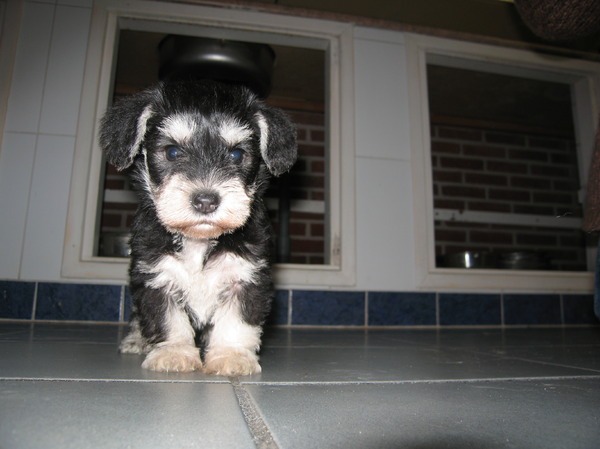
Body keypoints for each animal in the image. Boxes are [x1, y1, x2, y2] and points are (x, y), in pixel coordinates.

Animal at [101, 80, 298, 374]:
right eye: (172, 151)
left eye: (236, 154)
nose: (206, 201)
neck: (199, 240)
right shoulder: (156, 277)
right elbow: (166, 319)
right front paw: (173, 353)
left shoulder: (245, 277)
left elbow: (236, 321)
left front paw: (231, 356)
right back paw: (136, 340)